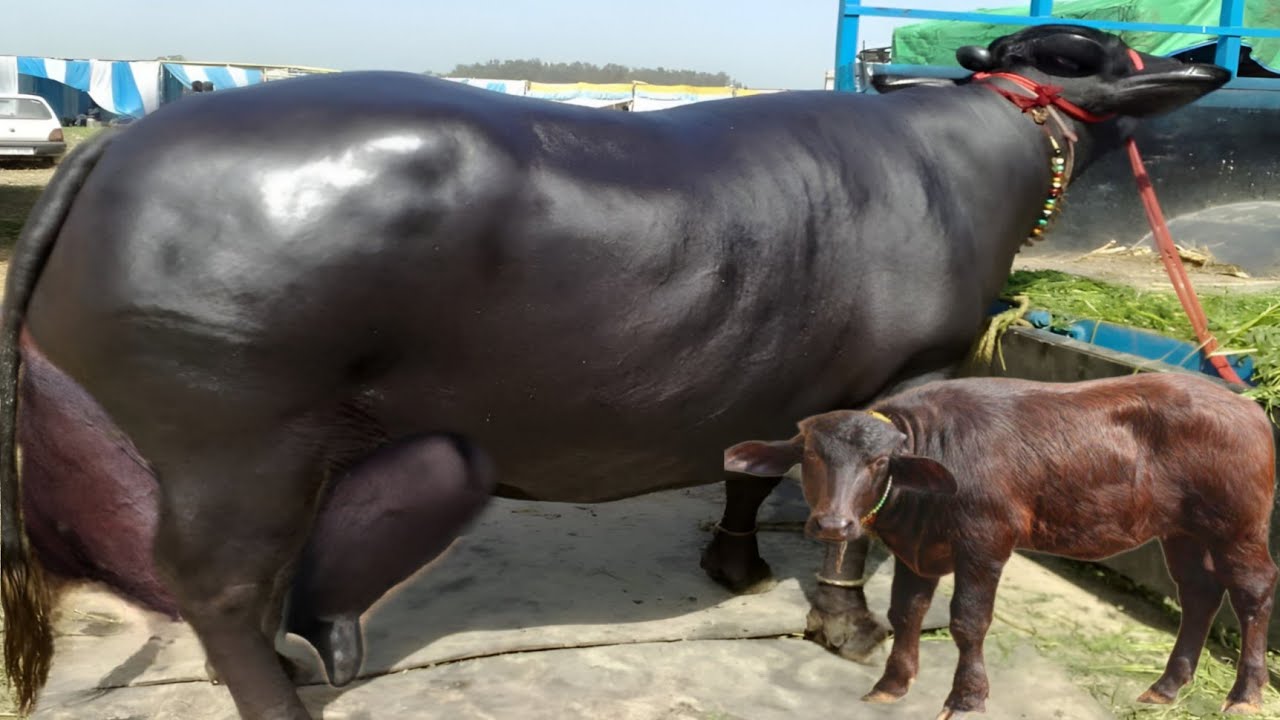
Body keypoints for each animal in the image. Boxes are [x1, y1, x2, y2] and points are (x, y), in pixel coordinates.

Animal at [2, 25, 1229, 719]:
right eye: (1100, 60)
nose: (1200, 57)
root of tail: (116, 148)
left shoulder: (773, 380)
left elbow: (746, 467)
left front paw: (734, 563)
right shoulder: (895, 381)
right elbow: (853, 518)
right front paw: (853, 629)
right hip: (230, 436)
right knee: (212, 582)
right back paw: (278, 700)